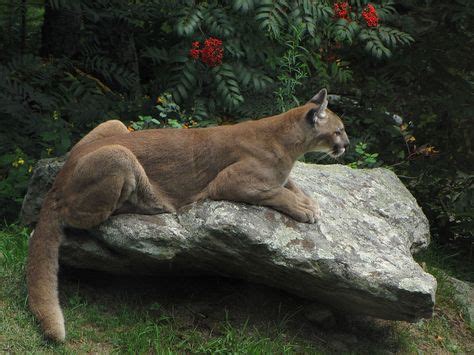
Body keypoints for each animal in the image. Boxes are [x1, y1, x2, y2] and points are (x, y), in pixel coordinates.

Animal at [27, 87, 350, 340]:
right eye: (338, 130)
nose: (347, 145)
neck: (287, 138)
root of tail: (58, 180)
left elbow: (289, 183)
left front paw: (309, 201)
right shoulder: (231, 181)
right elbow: (277, 191)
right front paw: (305, 209)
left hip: (114, 124)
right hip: (119, 156)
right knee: (84, 216)